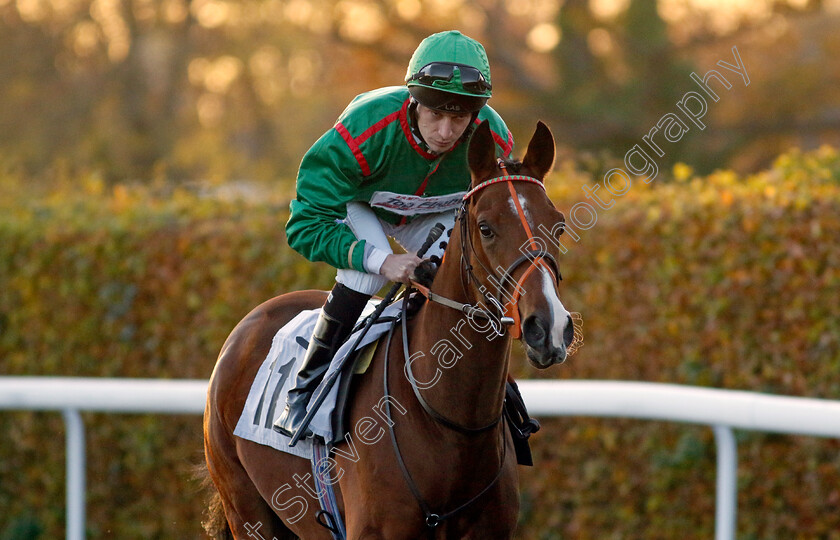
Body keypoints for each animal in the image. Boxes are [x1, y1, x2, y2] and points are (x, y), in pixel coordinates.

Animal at [203, 120, 576, 536]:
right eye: (486, 228)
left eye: (559, 226)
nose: (548, 327)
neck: (451, 424)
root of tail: (248, 323)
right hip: (245, 508)